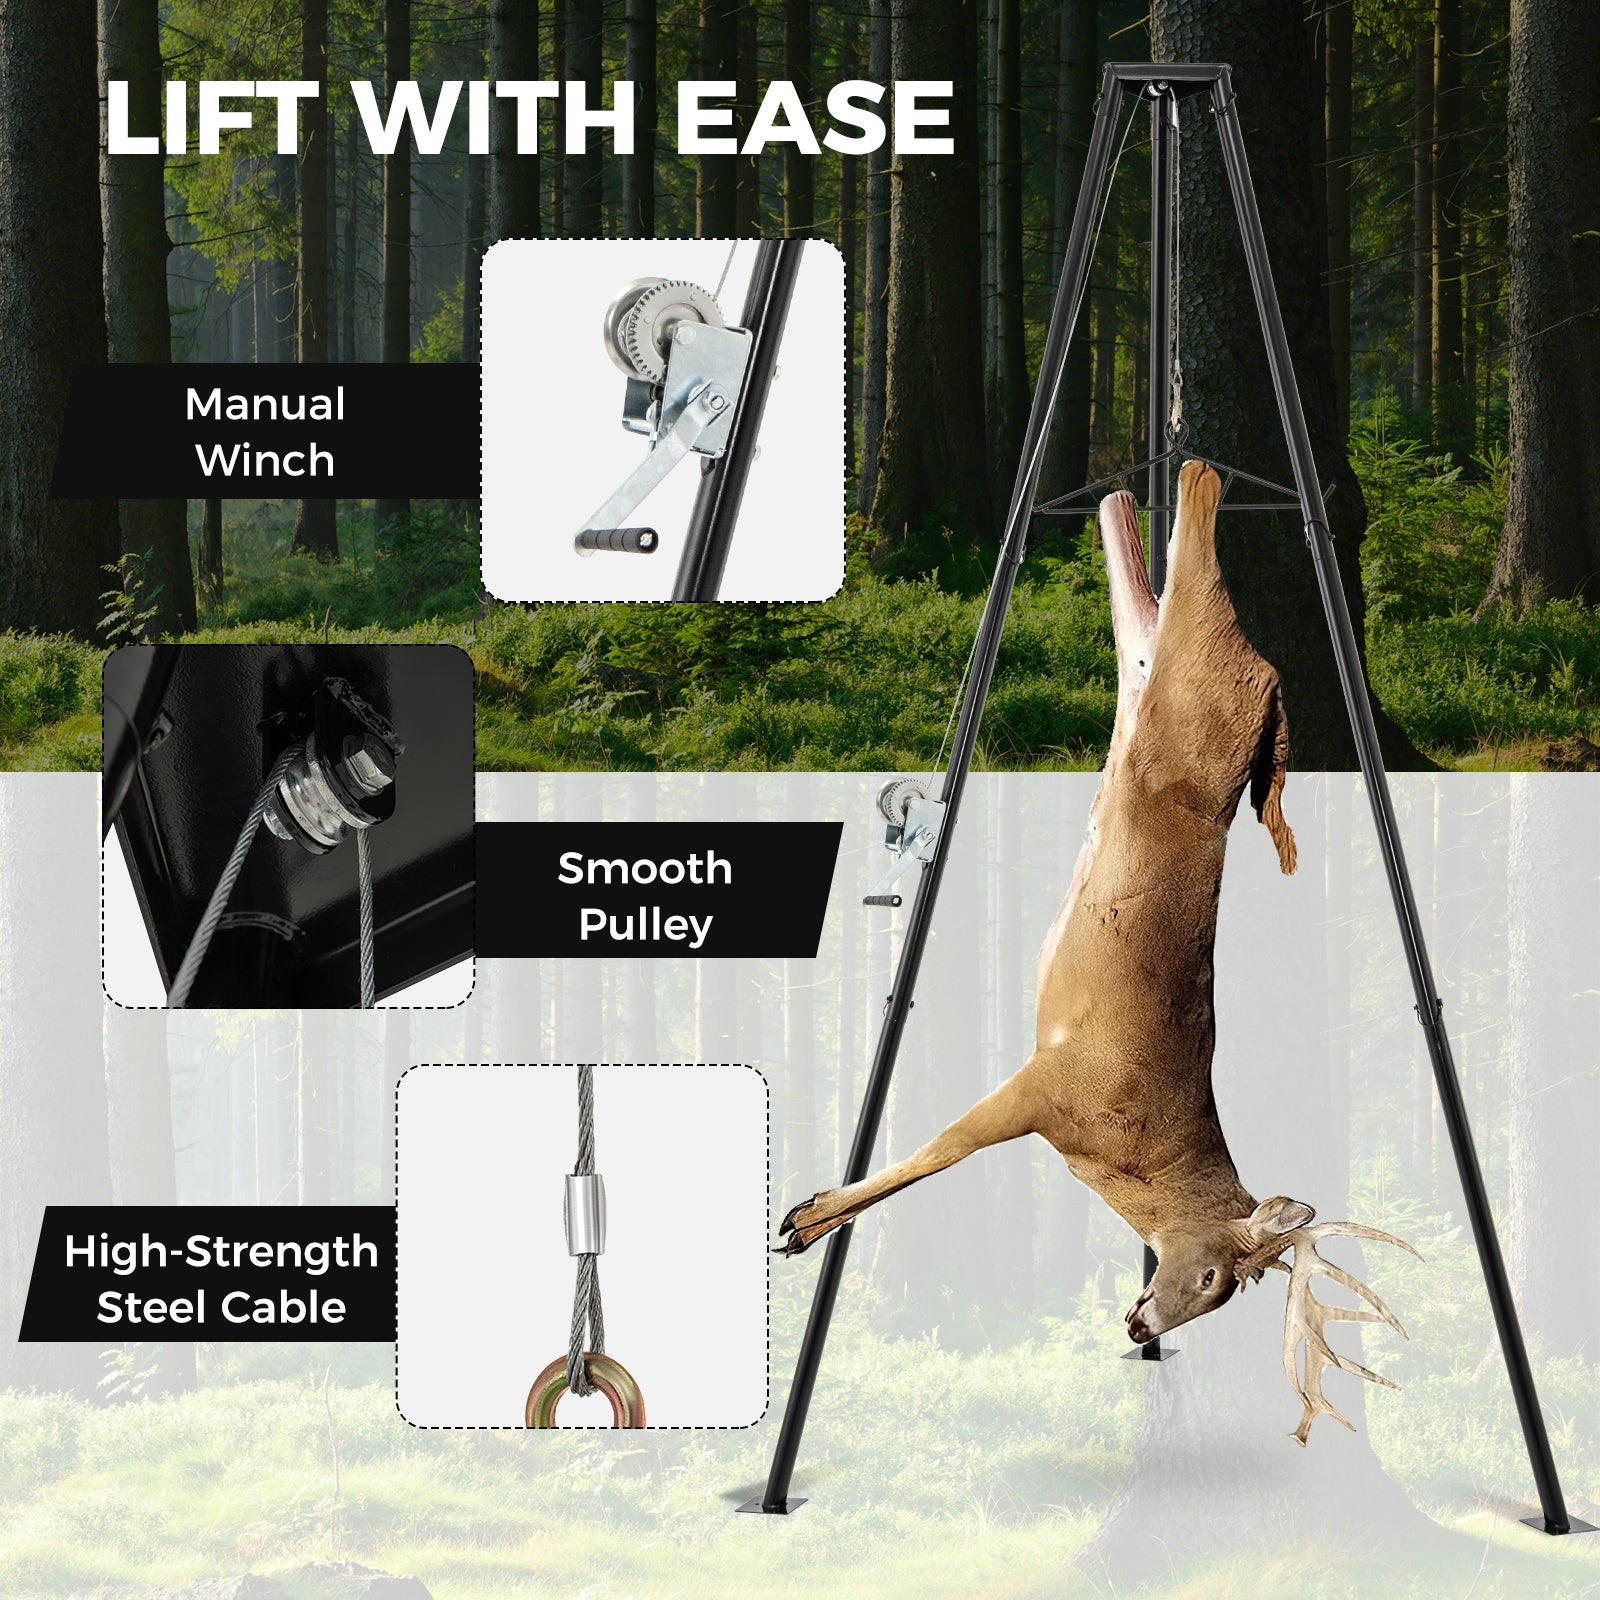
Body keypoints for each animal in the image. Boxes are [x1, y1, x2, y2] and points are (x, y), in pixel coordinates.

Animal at [780, 461, 1419, 1445]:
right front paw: (808, 1219)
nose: (1142, 1325)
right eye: (1213, 1278)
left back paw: (1143, 491)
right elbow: (939, 1153)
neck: (1136, 1161)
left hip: (1153, 680)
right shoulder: (1049, 1084)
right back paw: (1194, 475)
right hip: (1191, 689)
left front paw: (807, 1215)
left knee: (1140, 598)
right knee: (1195, 584)